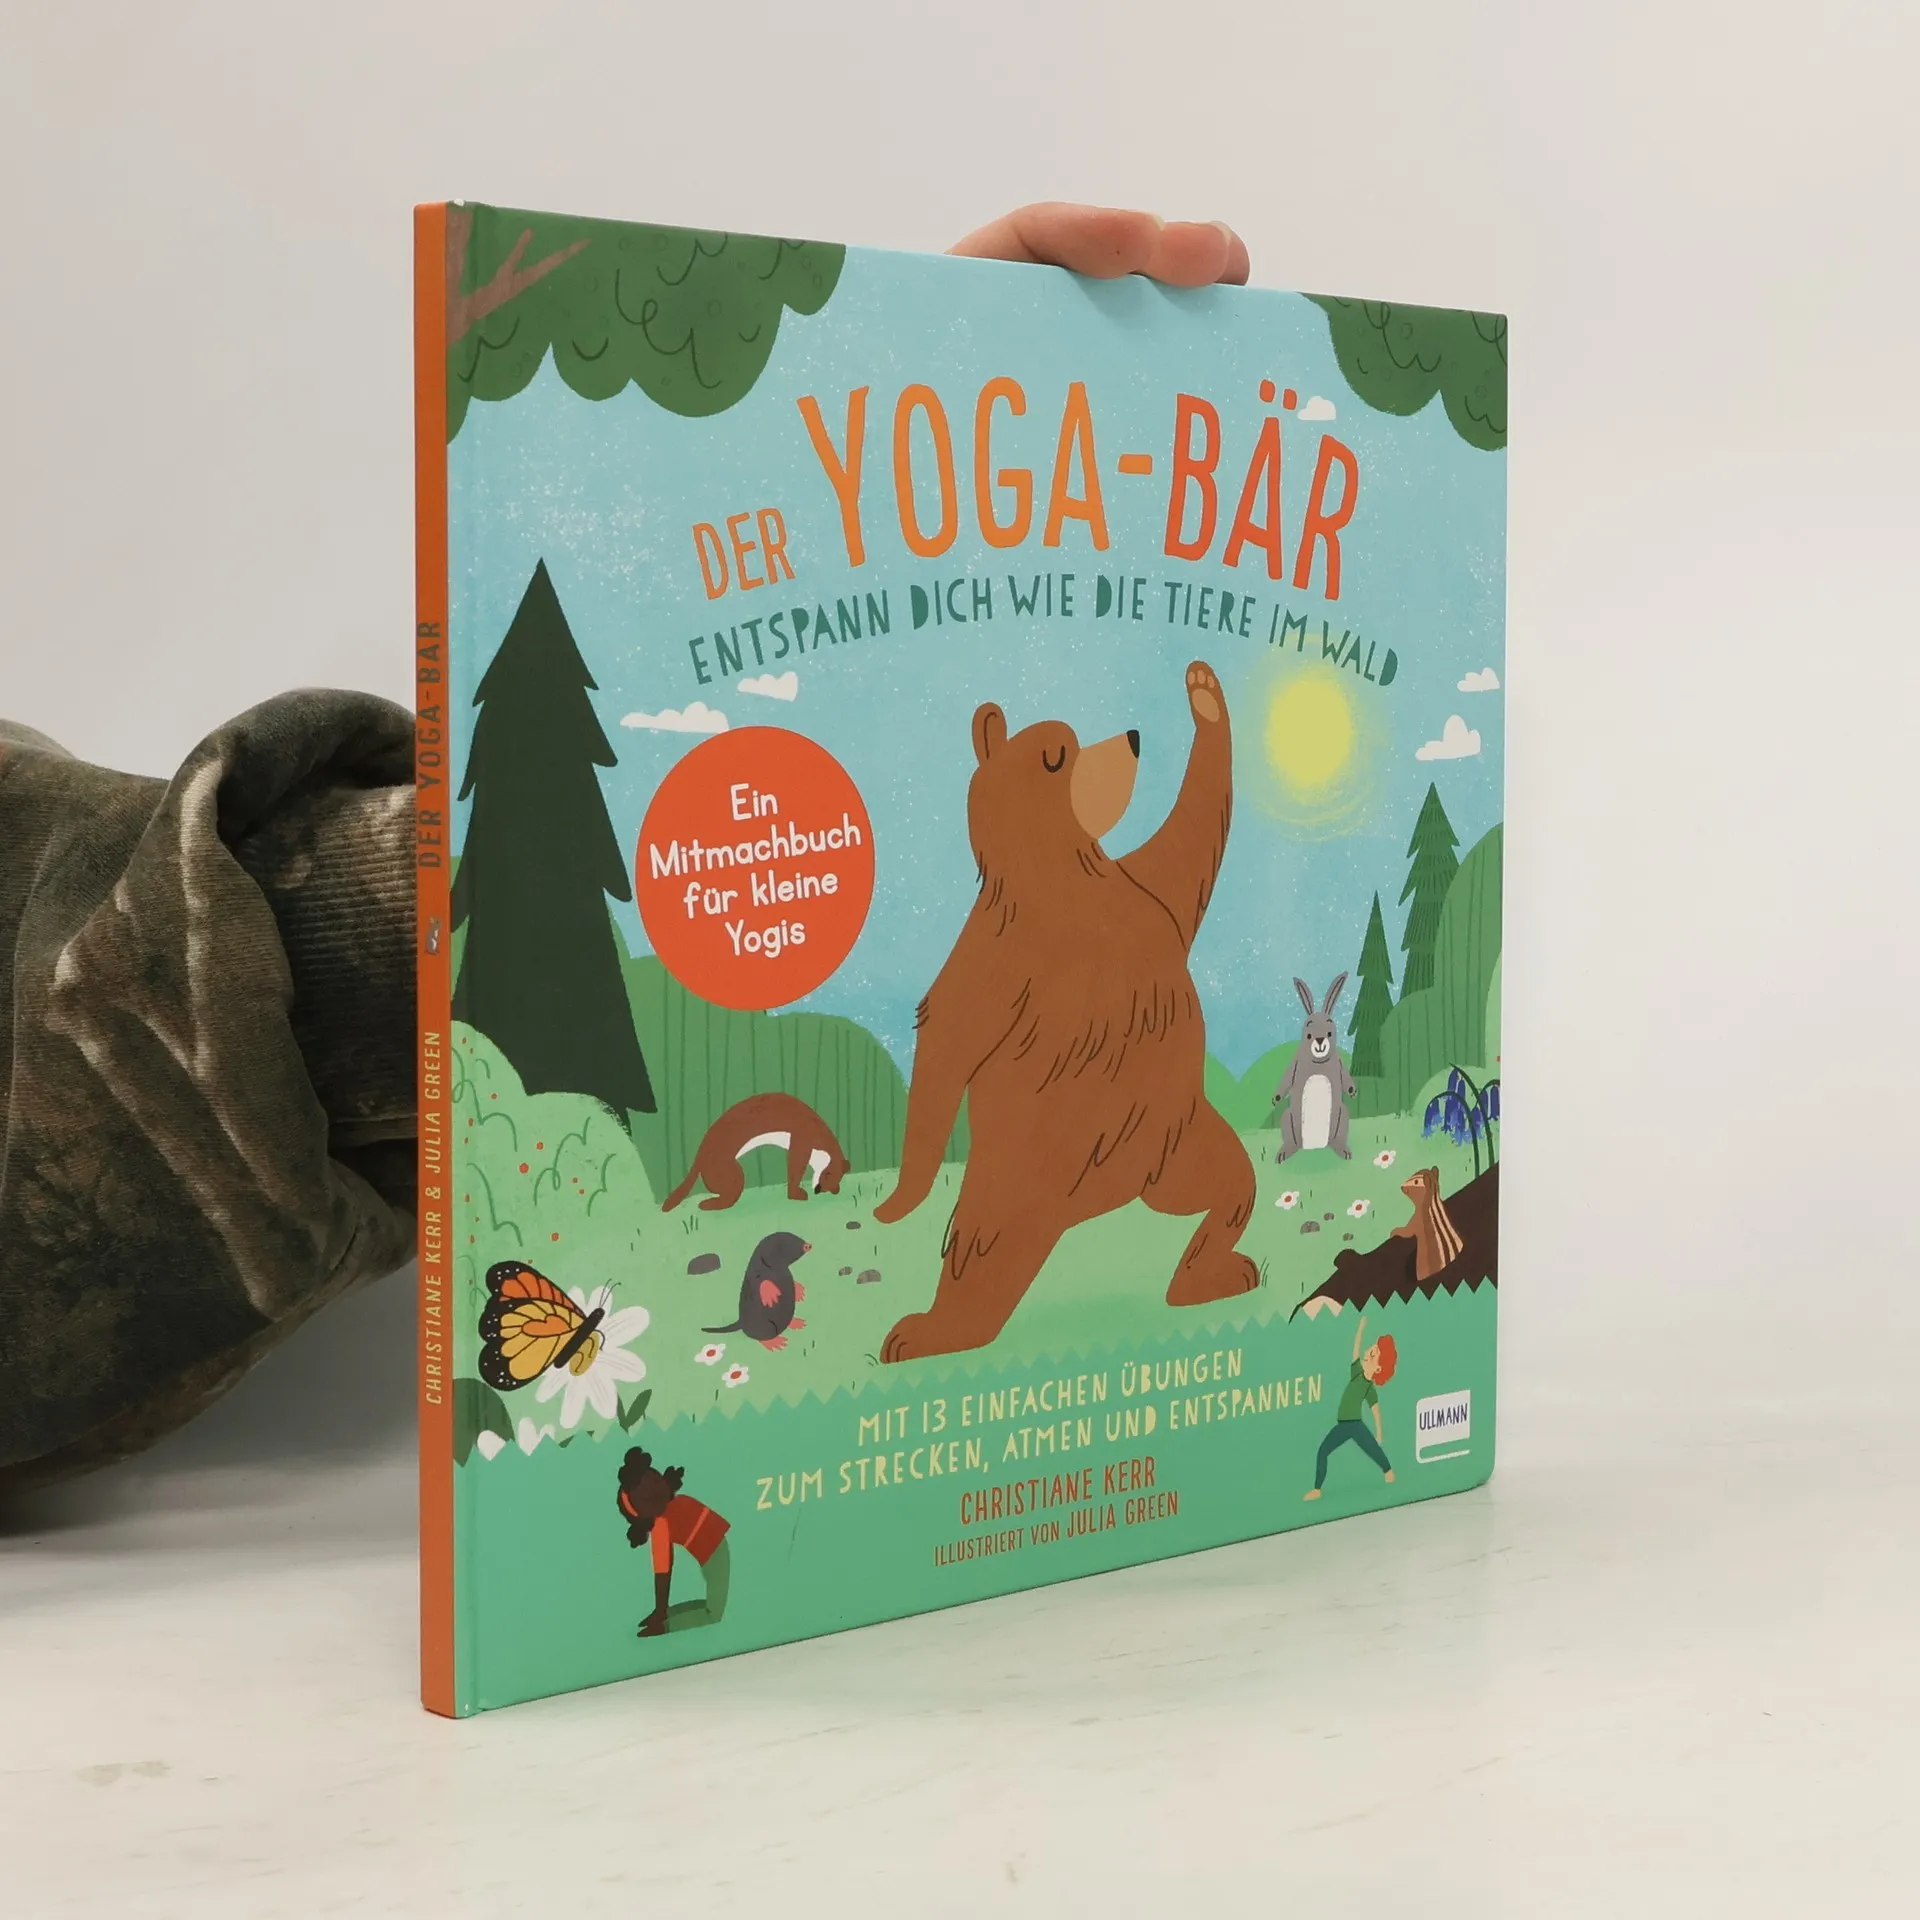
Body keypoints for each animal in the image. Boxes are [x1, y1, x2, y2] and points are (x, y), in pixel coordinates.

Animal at [874, 659, 1257, 1362]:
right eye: (1055, 755)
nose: (1134, 736)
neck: (1068, 877)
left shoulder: (1147, 896)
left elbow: (1190, 838)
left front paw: (1205, 697)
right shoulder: (998, 954)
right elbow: (947, 1039)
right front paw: (901, 1198)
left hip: (1178, 1142)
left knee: (1231, 1189)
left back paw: (1206, 1278)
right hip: (1016, 1177)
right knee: (981, 1250)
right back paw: (935, 1333)